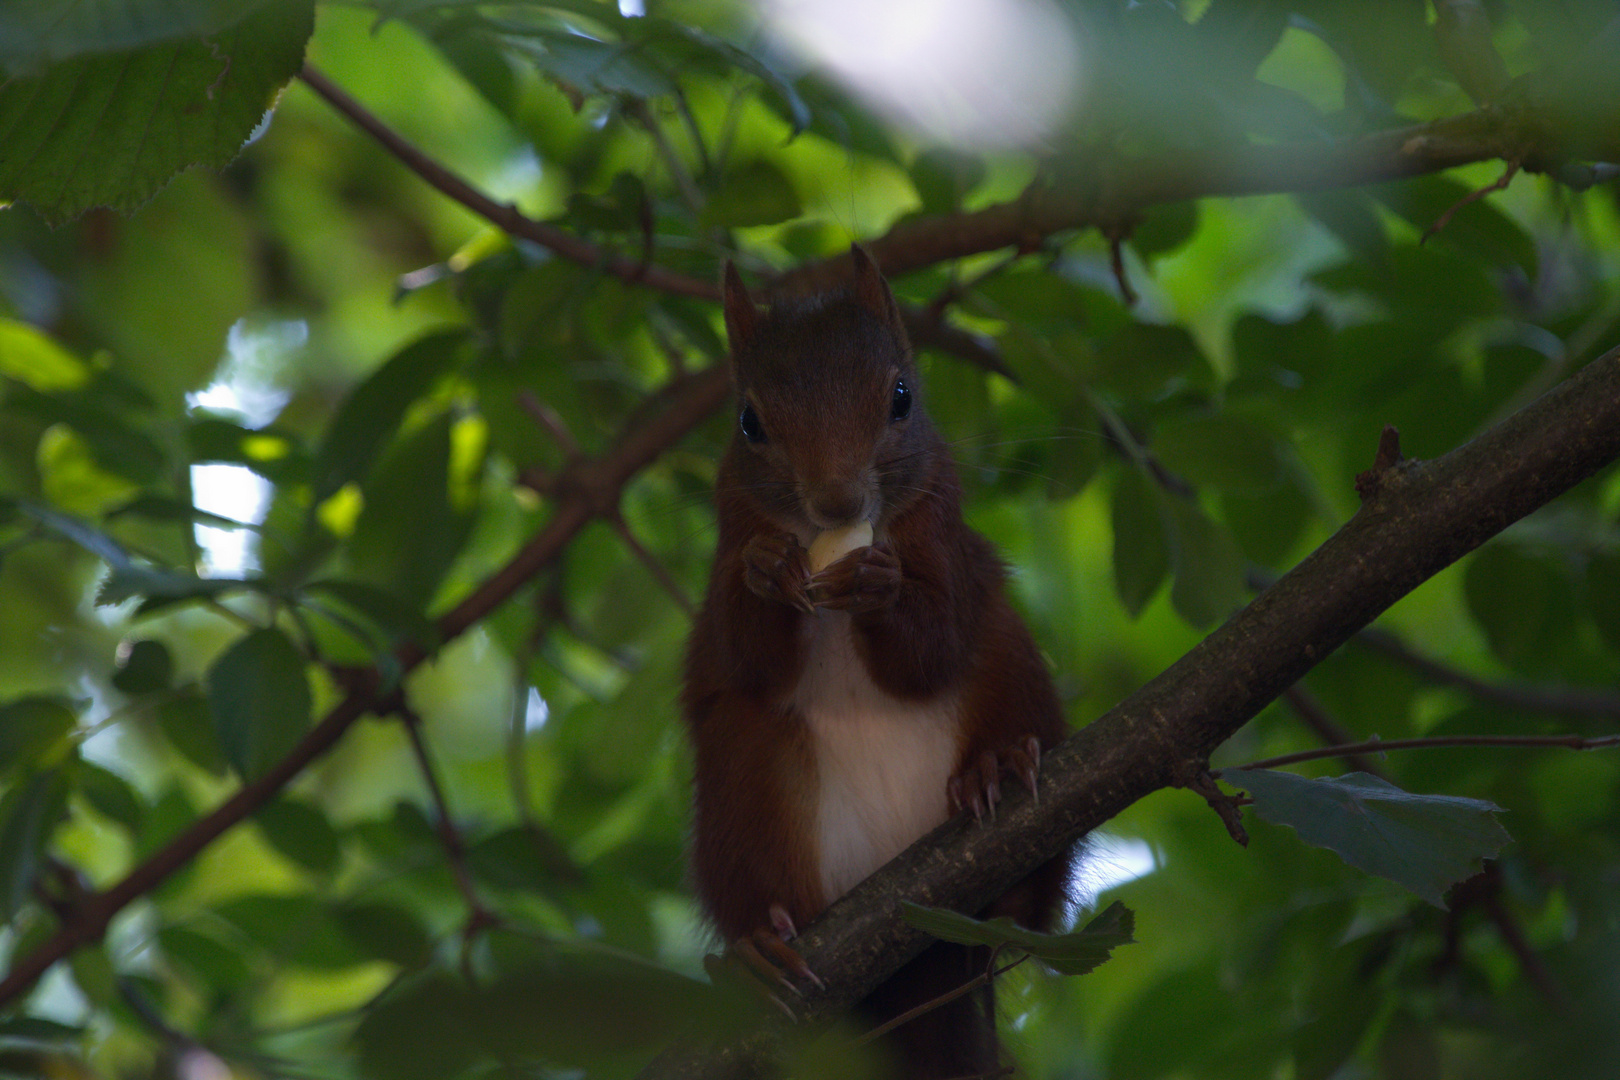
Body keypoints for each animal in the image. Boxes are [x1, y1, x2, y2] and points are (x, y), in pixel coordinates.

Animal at [683, 249, 1075, 1075]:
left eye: (901, 398)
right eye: (749, 421)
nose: (836, 502)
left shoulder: (947, 540)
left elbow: (931, 648)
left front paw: (876, 583)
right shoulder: (728, 547)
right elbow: (748, 658)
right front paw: (767, 570)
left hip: (1013, 674)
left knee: (1029, 909)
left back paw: (997, 774)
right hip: (743, 783)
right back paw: (757, 950)